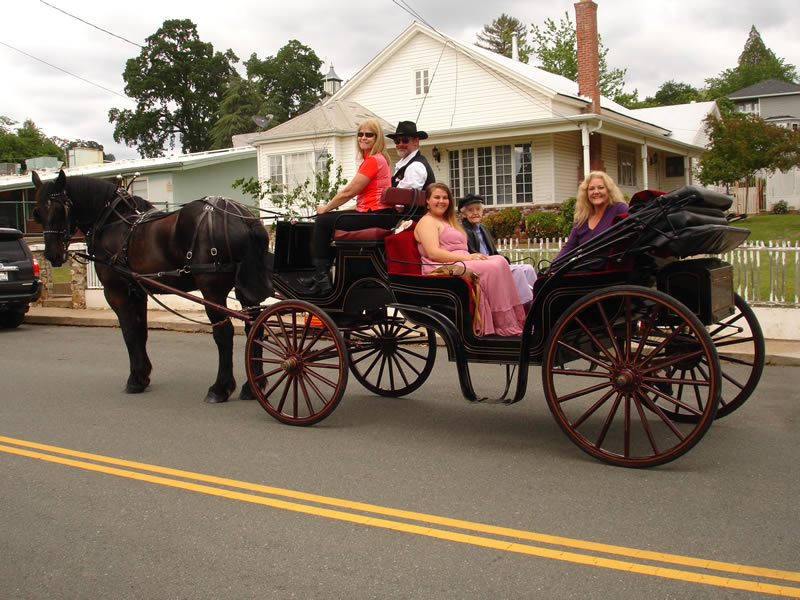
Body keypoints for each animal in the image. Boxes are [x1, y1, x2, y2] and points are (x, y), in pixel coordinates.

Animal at [33, 170, 276, 404]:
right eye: (38, 213)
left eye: (58, 209)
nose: (52, 254)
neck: (110, 221)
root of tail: (242, 216)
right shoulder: (138, 290)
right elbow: (141, 331)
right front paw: (143, 375)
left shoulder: (115, 291)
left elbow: (129, 332)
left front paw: (135, 380)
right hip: (245, 290)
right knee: (255, 328)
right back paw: (252, 387)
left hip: (212, 289)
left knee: (224, 333)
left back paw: (219, 388)